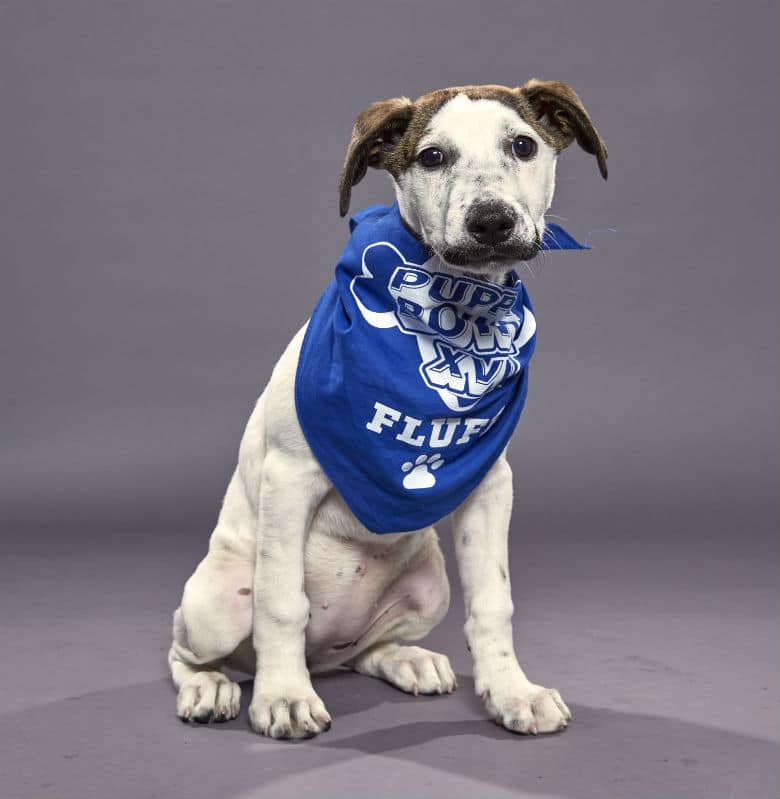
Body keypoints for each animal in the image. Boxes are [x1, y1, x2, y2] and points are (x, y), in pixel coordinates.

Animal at [168, 78, 608, 740]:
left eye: (523, 145)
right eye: (432, 157)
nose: (491, 221)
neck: (455, 313)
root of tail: (324, 655)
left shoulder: (490, 485)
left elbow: (493, 600)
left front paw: (511, 692)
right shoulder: (288, 477)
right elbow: (281, 602)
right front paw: (283, 697)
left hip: (429, 586)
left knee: (364, 650)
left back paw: (407, 660)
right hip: (213, 601)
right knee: (190, 648)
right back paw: (212, 686)